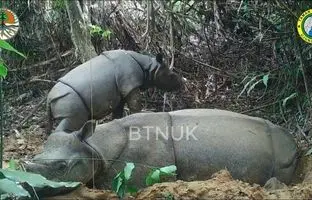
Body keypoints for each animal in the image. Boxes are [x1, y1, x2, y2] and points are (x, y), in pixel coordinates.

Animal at [46, 49, 183, 134]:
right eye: (171, 76)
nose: (181, 82)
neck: (148, 66)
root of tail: (49, 98)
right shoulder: (130, 85)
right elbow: (135, 105)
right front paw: (140, 117)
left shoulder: (120, 92)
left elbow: (117, 112)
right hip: (69, 99)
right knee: (71, 122)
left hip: (64, 99)